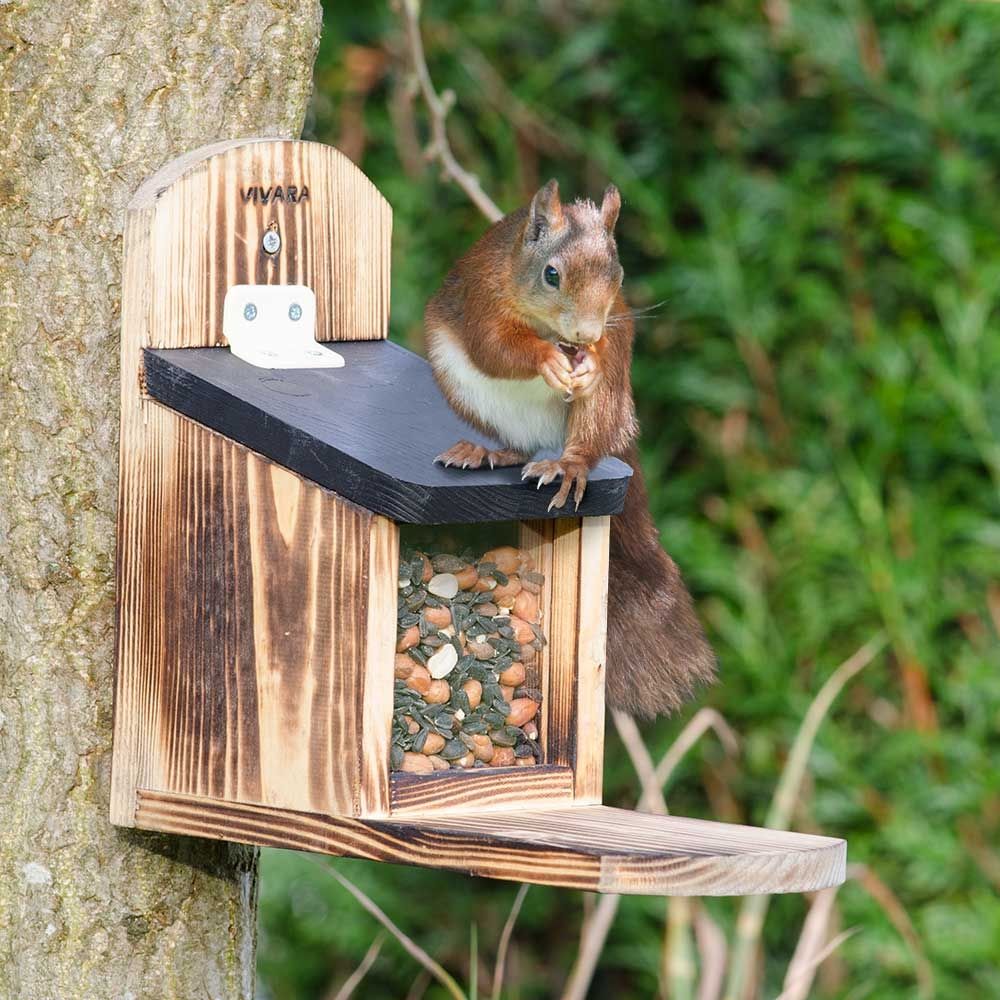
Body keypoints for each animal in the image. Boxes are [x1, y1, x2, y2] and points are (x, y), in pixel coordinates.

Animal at [426, 178, 716, 712]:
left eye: (618, 274)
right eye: (551, 274)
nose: (586, 333)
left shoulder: (616, 322)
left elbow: (609, 345)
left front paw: (592, 356)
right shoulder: (481, 298)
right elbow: (494, 347)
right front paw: (545, 358)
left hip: (606, 406)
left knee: (585, 436)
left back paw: (570, 464)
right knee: (516, 445)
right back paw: (487, 452)